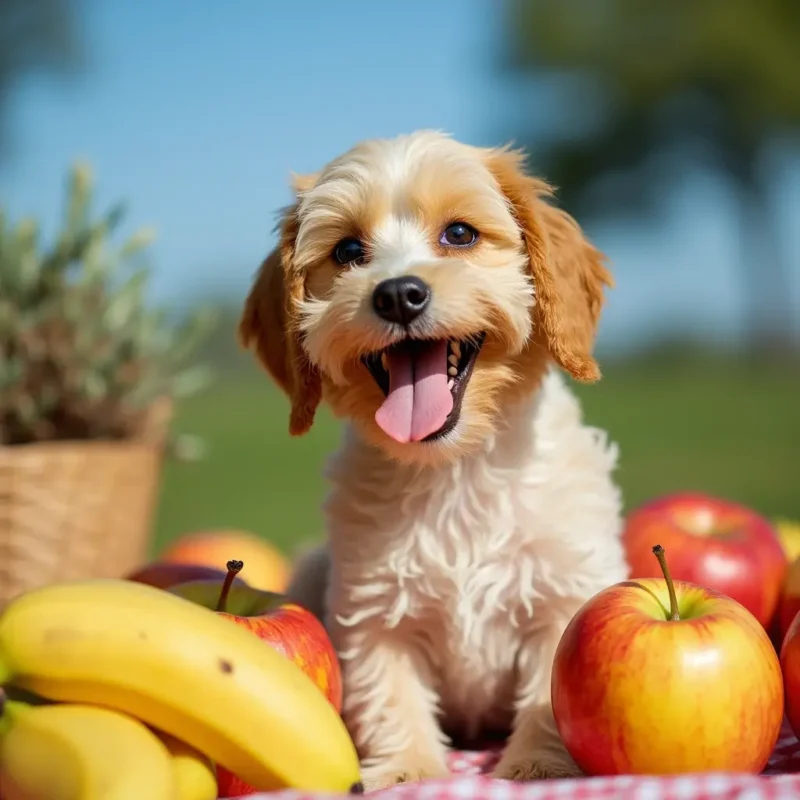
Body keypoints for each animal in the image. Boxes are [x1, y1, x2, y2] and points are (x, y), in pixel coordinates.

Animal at [241, 130, 628, 788]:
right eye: (348, 250)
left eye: (460, 234)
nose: (398, 293)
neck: (455, 468)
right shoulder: (373, 611)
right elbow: (389, 691)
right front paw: (407, 769)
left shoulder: (564, 588)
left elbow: (549, 691)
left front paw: (538, 765)